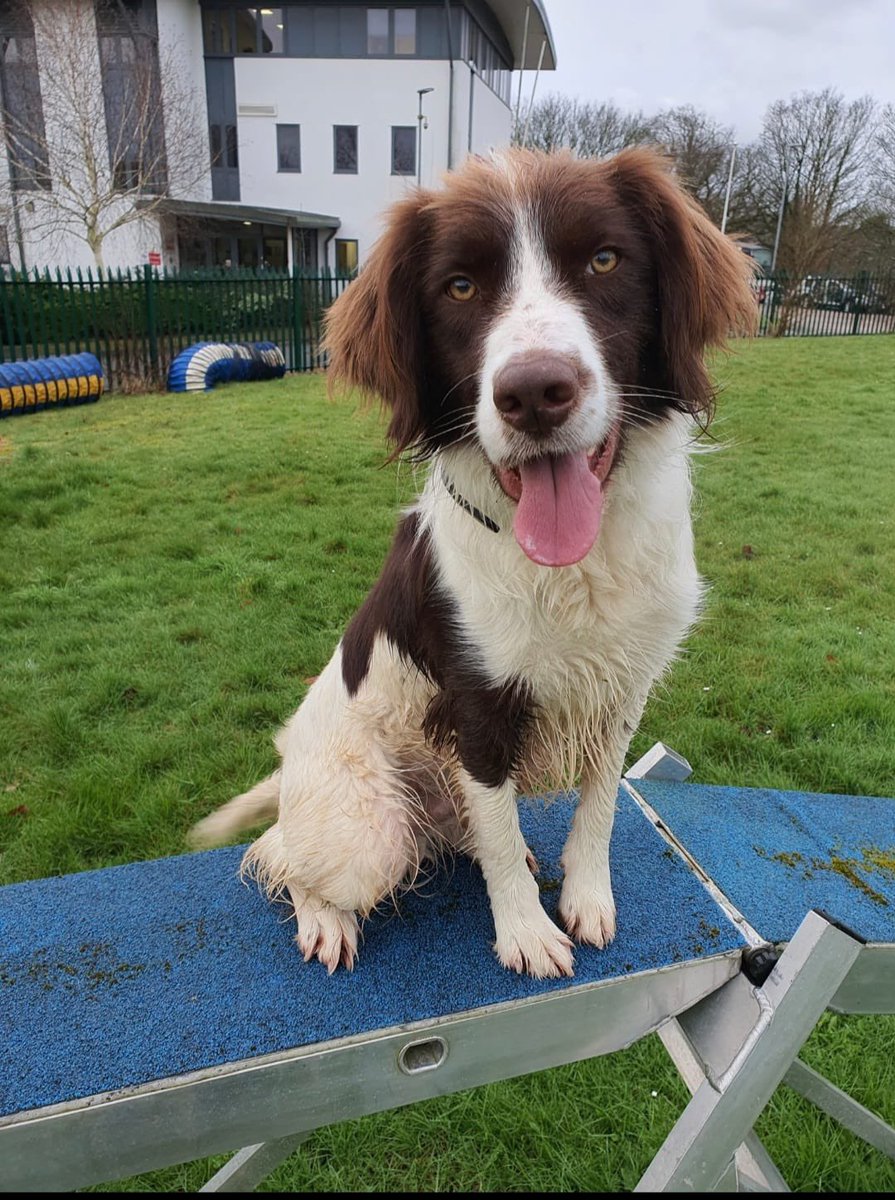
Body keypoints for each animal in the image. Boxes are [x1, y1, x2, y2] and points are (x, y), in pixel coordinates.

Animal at [189, 147, 753, 974]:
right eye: (459, 287)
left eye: (603, 260)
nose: (535, 393)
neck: (574, 564)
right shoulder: (478, 707)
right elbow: (500, 830)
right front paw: (525, 934)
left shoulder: (622, 690)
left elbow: (597, 807)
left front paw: (585, 897)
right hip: (364, 832)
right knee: (281, 853)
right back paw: (323, 918)